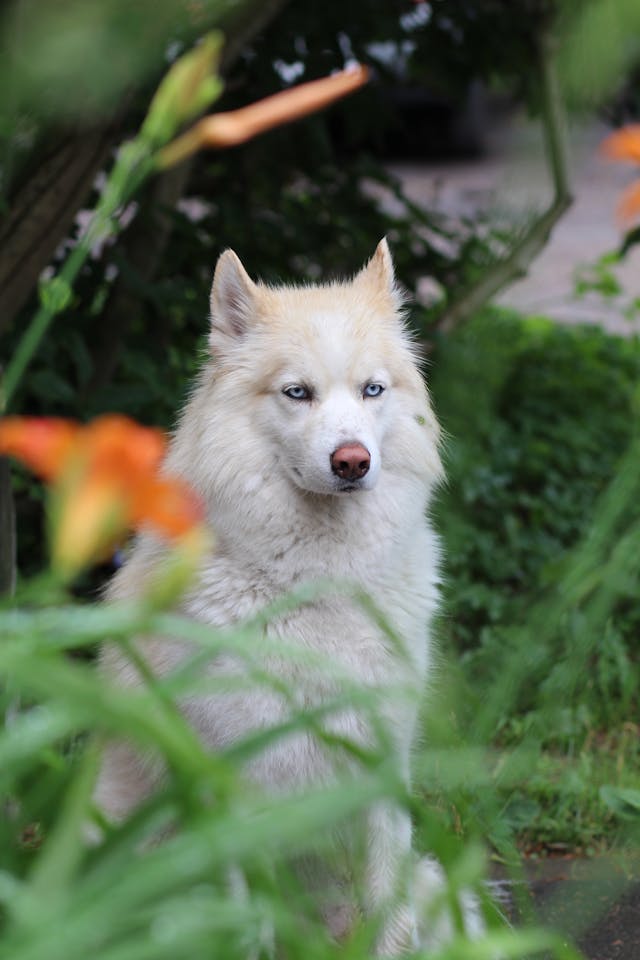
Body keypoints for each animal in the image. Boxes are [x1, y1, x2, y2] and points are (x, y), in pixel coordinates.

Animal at [92, 238, 478, 952]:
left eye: (372, 390)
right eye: (297, 393)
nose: (352, 461)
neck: (317, 586)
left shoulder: (384, 767)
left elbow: (388, 916)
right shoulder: (229, 783)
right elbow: (249, 923)